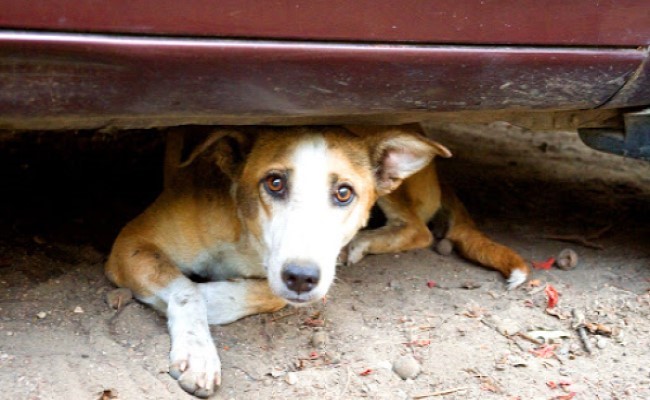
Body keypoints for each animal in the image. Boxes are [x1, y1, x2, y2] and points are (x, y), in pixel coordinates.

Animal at [104, 126, 524, 396]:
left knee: (419, 229)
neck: (247, 236)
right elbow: (186, 288)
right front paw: (198, 352)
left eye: (343, 193)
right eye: (274, 183)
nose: (301, 278)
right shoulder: (131, 243)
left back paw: (362, 242)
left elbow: (256, 293)